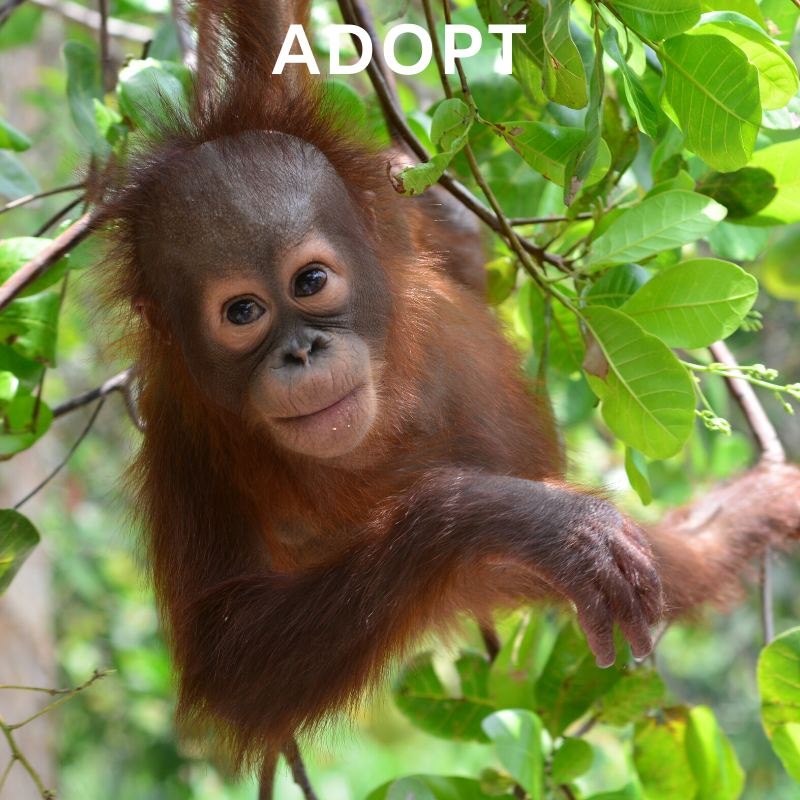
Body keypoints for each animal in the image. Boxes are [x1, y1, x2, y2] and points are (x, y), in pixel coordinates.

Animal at [96, 0, 800, 781]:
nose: (301, 353)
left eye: (310, 281)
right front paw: (523, 520)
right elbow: (232, 655)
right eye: (242, 312)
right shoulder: (182, 432)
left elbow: (272, 34)